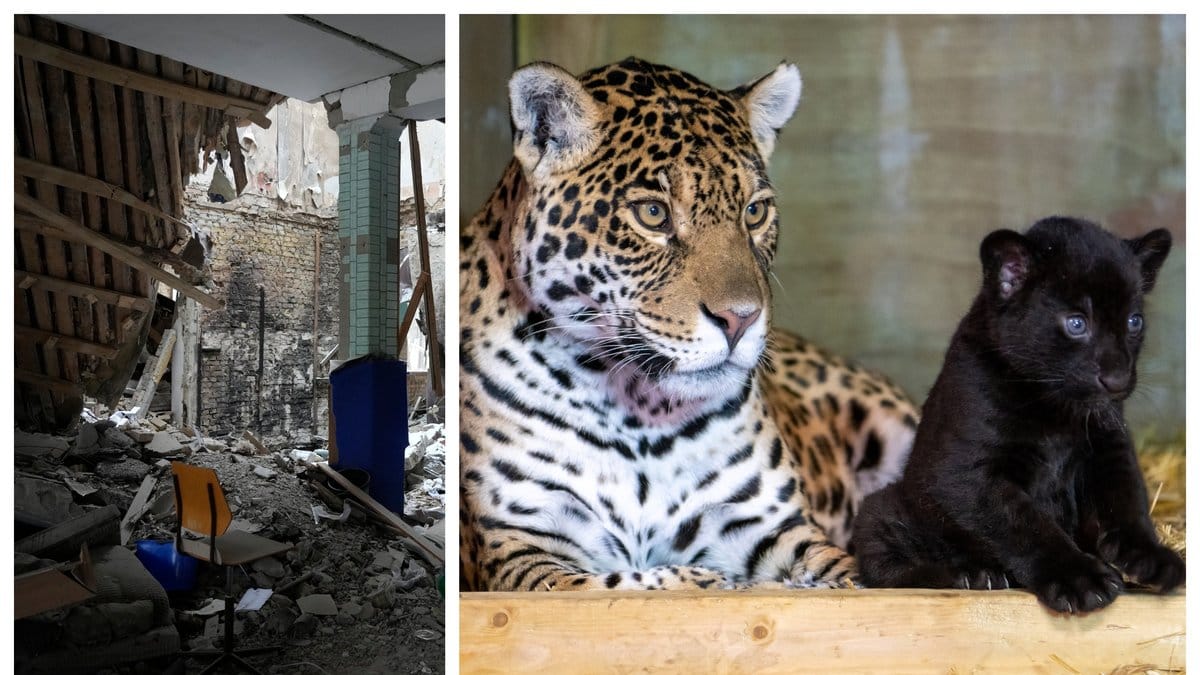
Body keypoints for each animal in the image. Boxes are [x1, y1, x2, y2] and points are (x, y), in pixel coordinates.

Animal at [460, 57, 918, 591]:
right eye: (653, 213)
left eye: (754, 211)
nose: (740, 319)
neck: (637, 413)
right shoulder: (521, 547)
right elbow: (628, 583)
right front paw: (716, 581)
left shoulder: (773, 525)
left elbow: (844, 576)